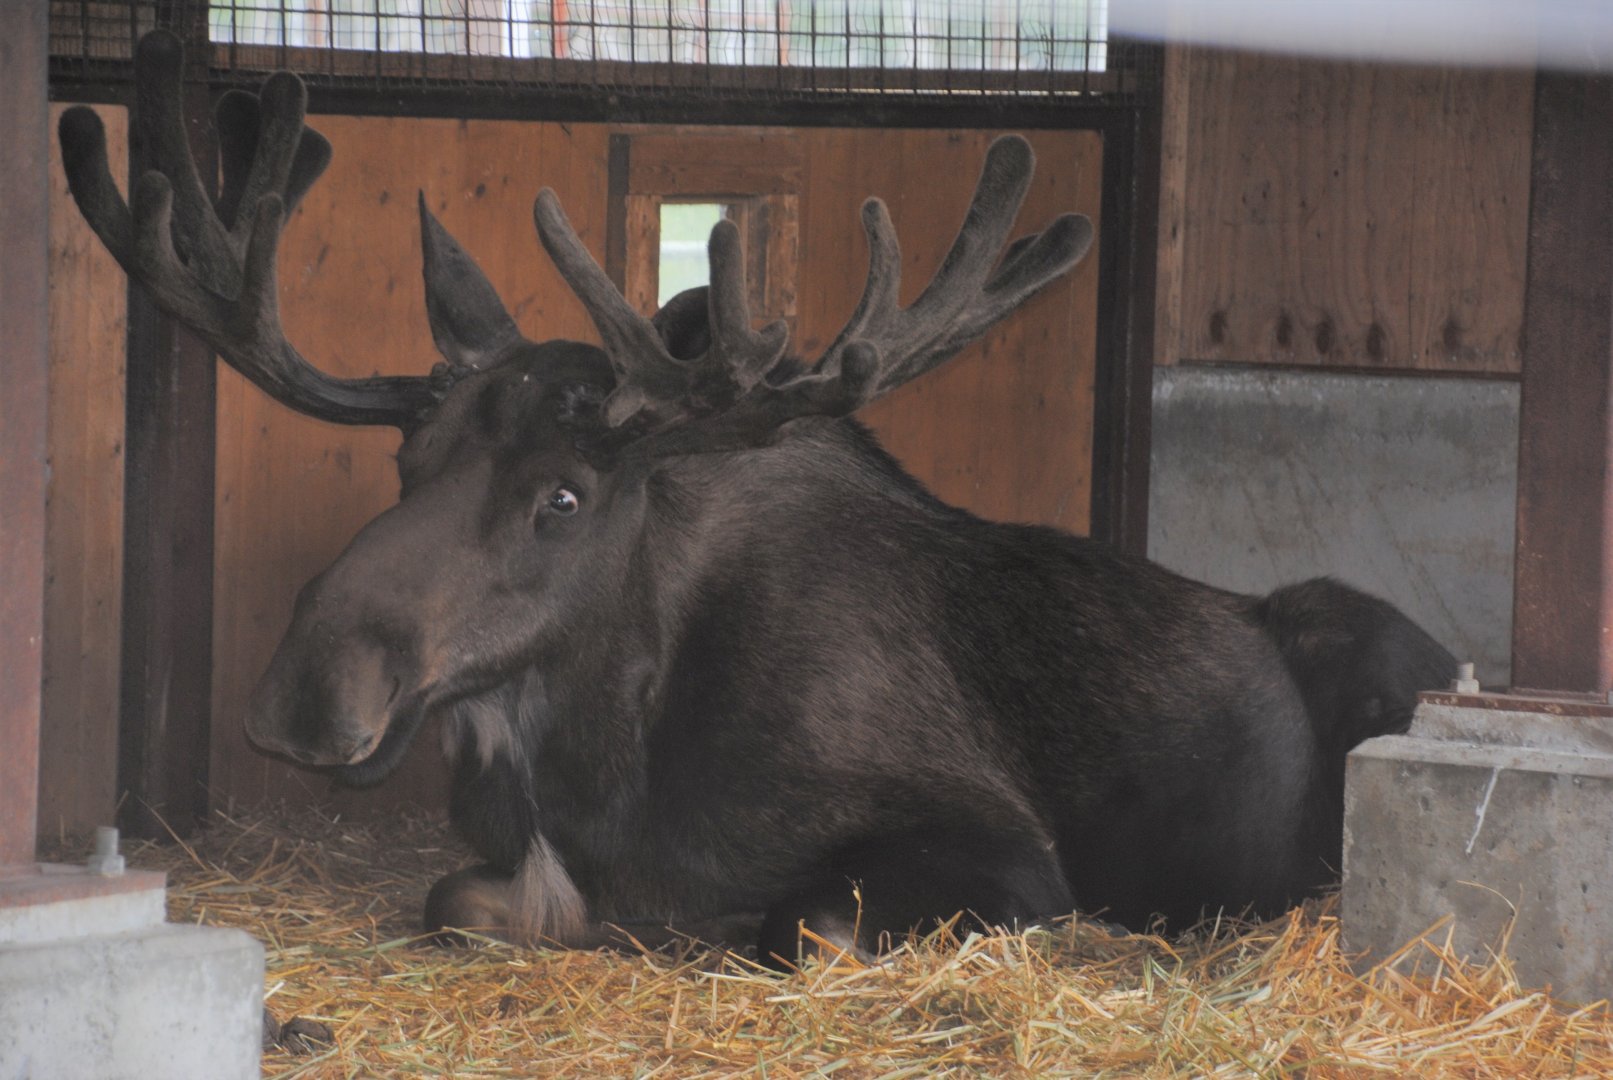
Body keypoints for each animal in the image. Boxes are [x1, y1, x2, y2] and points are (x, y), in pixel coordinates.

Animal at [59, 31, 1455, 966]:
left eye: (564, 498)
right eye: (407, 462)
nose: (303, 695)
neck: (595, 746)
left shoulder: (1003, 855)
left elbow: (788, 924)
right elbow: (461, 900)